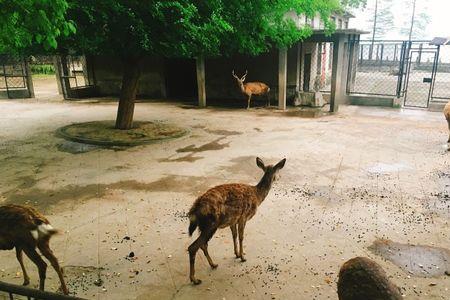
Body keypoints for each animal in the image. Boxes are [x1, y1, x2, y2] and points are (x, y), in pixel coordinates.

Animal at [187, 156, 286, 284]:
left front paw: (237, 254)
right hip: (211, 224)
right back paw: (194, 279)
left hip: (204, 226)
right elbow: (241, 236)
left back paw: (213, 264)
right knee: (193, 247)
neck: (257, 196)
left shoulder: (233, 220)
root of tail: (195, 209)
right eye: (277, 171)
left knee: (203, 244)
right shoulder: (243, 217)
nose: (278, 178)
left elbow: (234, 235)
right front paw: (243, 257)